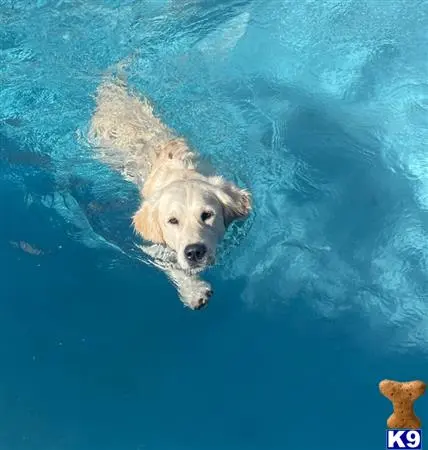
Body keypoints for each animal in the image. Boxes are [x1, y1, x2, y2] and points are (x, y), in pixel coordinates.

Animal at [88, 78, 252, 310]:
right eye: (172, 221)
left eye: (207, 215)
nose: (194, 252)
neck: (182, 173)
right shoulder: (150, 241)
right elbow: (170, 262)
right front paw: (195, 291)